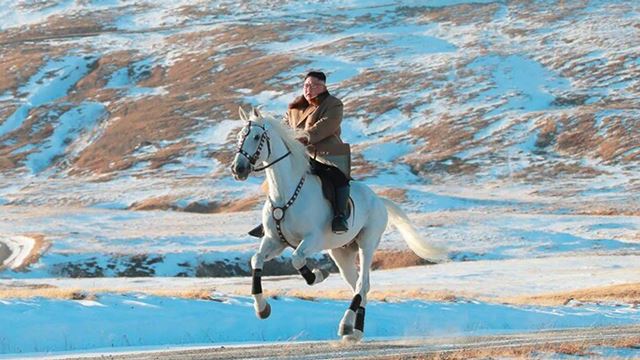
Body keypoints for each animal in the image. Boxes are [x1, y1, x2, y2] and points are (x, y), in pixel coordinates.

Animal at [230, 106, 444, 340]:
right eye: (240, 137)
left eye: (256, 137)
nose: (238, 169)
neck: (286, 193)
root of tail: (379, 200)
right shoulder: (274, 241)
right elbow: (256, 260)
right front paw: (262, 309)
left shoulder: (312, 239)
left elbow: (296, 259)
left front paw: (317, 275)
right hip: (341, 252)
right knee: (359, 285)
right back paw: (354, 329)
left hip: (367, 244)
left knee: (362, 283)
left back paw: (348, 327)